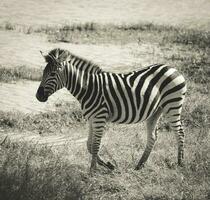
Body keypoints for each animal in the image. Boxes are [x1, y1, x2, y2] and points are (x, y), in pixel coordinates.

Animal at [36, 47, 187, 171]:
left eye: (52, 74)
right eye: (43, 72)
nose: (38, 96)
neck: (87, 87)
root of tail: (173, 68)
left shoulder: (99, 118)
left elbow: (95, 145)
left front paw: (92, 171)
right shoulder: (91, 119)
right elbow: (89, 145)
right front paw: (108, 165)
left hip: (172, 104)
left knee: (179, 132)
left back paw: (180, 163)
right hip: (156, 111)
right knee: (153, 136)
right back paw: (140, 165)